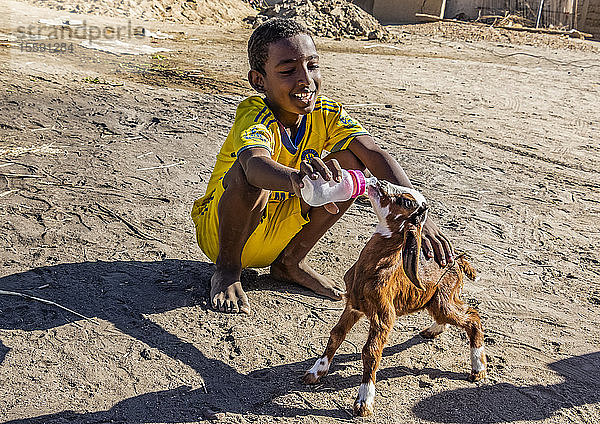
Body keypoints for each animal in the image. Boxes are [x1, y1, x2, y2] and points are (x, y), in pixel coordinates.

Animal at [302, 181, 486, 416]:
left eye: (406, 202)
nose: (378, 182)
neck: (373, 269)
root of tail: (458, 260)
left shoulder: (384, 316)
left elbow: (370, 352)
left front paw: (364, 401)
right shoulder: (353, 305)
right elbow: (336, 334)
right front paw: (316, 371)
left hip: (444, 298)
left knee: (472, 317)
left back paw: (478, 369)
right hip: (437, 300)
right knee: (453, 314)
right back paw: (433, 330)